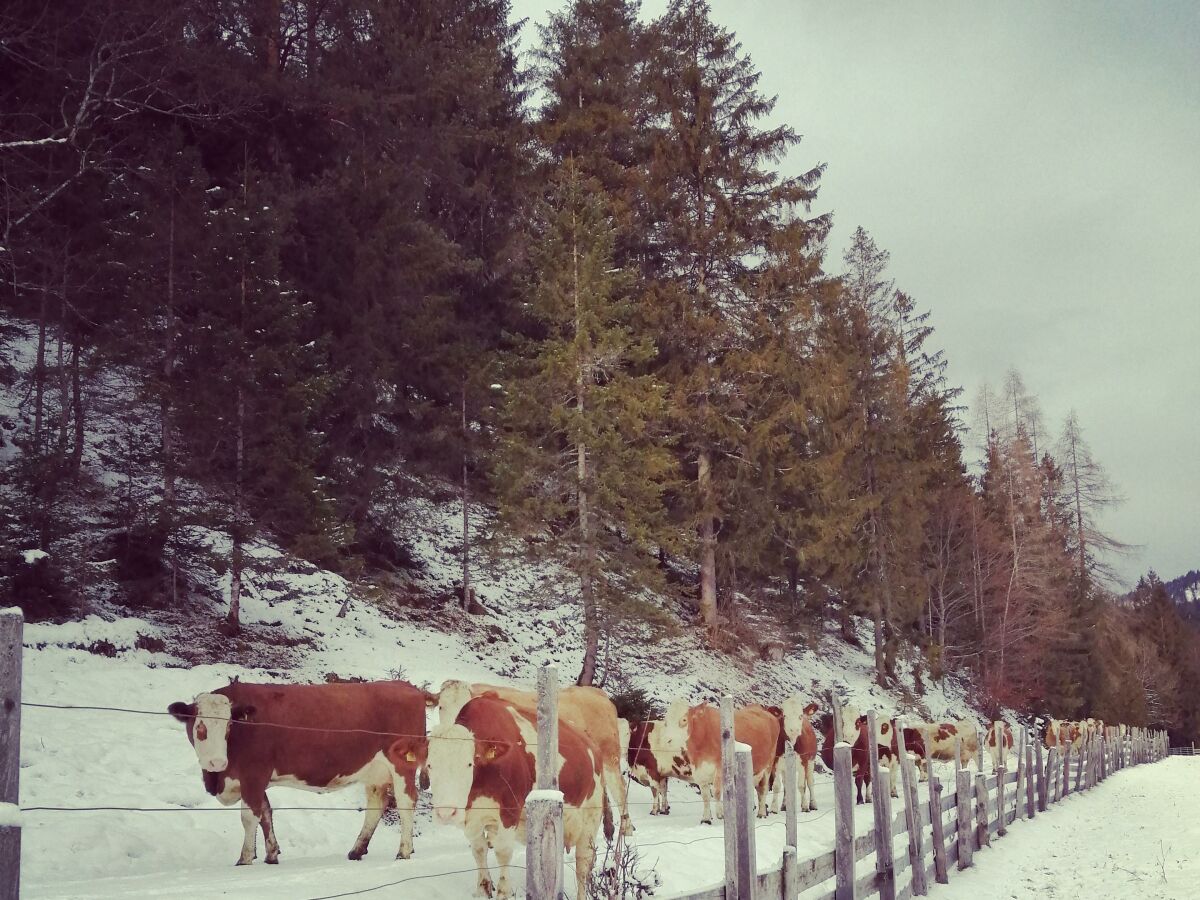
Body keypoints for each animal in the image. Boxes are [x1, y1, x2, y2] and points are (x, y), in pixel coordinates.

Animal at [166, 681, 432, 868]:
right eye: (199, 726)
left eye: (229, 725)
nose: (217, 761)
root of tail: (406, 686)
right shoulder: (257, 779)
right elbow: (266, 813)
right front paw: (271, 854)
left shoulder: (253, 774)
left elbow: (249, 817)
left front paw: (245, 858)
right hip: (375, 772)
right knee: (376, 805)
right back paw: (356, 851)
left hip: (401, 765)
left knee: (407, 803)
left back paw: (404, 851)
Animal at [388, 696, 604, 897]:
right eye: (430, 764)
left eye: (469, 764)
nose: (446, 813)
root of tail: (591, 744)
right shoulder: (472, 817)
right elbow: (478, 849)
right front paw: (483, 888)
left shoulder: (509, 811)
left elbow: (502, 852)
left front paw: (503, 891)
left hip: (590, 823)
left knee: (583, 866)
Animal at [436, 681, 633, 840]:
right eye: (440, 706)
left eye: (463, 703)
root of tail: (597, 693)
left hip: (610, 758)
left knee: (620, 789)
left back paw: (626, 828)